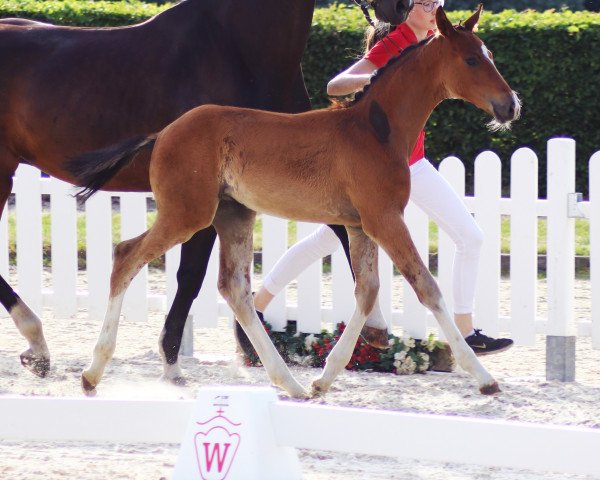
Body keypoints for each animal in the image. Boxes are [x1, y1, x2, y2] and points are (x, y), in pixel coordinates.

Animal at [68, 6, 520, 398]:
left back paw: (290, 382)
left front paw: (326, 377)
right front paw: (483, 377)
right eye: (471, 60)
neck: (375, 131)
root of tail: (163, 133)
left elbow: (368, 291)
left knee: (234, 289)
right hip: (188, 214)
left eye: (490, 55)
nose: (511, 105)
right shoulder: (385, 219)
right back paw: (93, 372)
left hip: (233, 214)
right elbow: (425, 286)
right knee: (127, 255)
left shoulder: (360, 224)